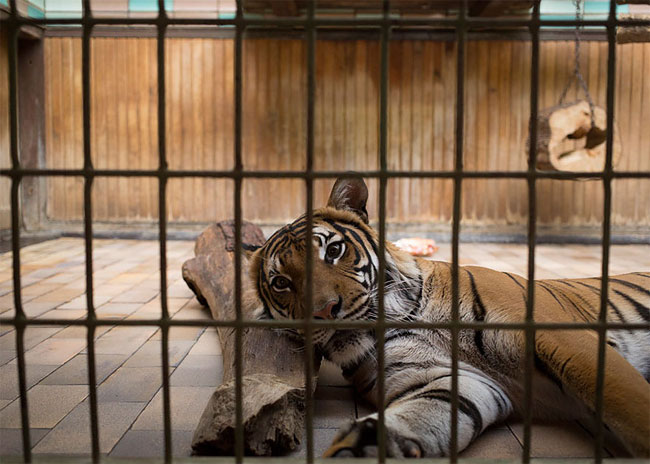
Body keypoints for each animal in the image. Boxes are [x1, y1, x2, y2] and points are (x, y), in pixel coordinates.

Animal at [244, 177, 648, 456]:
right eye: (281, 283)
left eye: (334, 250)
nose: (324, 311)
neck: (403, 321)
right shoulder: (453, 379)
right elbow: (429, 411)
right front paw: (365, 445)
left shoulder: (568, 340)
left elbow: (629, 404)